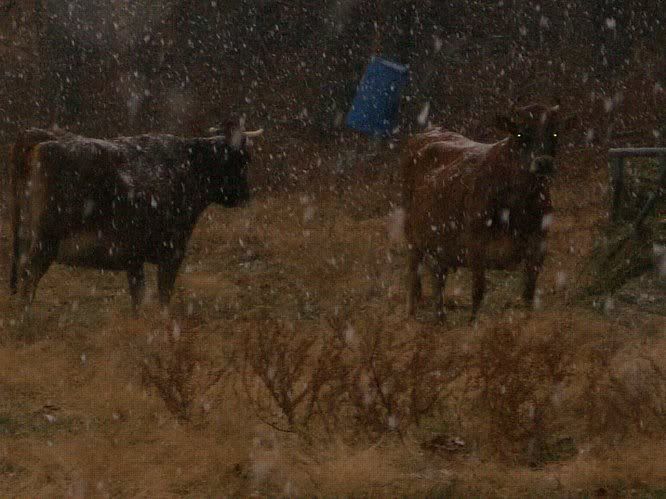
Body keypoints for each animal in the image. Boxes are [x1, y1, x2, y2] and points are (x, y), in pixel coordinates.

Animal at [9, 120, 263, 316]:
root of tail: (43, 136)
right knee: (29, 277)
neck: (188, 169)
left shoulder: (133, 258)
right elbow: (163, 296)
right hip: (45, 242)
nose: (245, 195)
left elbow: (138, 299)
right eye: (242, 160)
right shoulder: (171, 251)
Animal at [402, 104, 572, 320]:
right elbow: (478, 291)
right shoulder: (475, 245)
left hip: (439, 243)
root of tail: (429, 131)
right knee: (414, 274)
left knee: (438, 275)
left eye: (555, 133)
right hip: (412, 236)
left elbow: (529, 292)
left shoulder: (538, 244)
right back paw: (412, 314)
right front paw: (473, 323)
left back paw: (440, 317)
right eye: (520, 134)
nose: (544, 163)